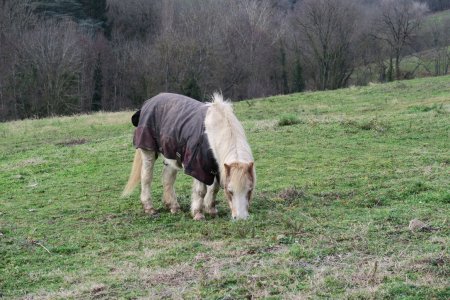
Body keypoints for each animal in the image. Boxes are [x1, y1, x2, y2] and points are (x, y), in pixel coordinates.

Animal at [122, 93, 256, 220]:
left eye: (250, 190)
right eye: (230, 191)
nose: (241, 218)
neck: (212, 134)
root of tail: (148, 103)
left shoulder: (218, 168)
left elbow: (214, 188)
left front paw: (211, 210)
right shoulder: (198, 167)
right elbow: (201, 191)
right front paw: (198, 214)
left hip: (170, 156)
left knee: (167, 179)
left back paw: (173, 207)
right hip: (148, 151)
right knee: (146, 177)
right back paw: (149, 208)